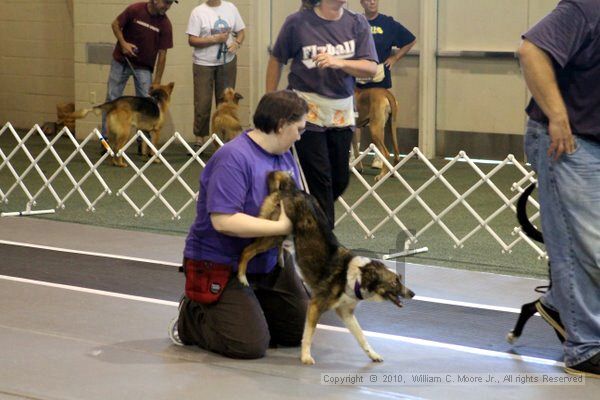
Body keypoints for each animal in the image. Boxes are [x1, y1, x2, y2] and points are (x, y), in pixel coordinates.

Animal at [237, 170, 414, 364]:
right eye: (394, 282)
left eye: (400, 279)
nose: (412, 293)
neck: (352, 278)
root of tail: (291, 190)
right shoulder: (315, 305)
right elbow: (308, 335)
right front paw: (306, 356)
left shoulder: (346, 313)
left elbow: (361, 337)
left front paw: (373, 354)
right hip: (275, 232)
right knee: (246, 251)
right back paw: (242, 277)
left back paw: (281, 260)